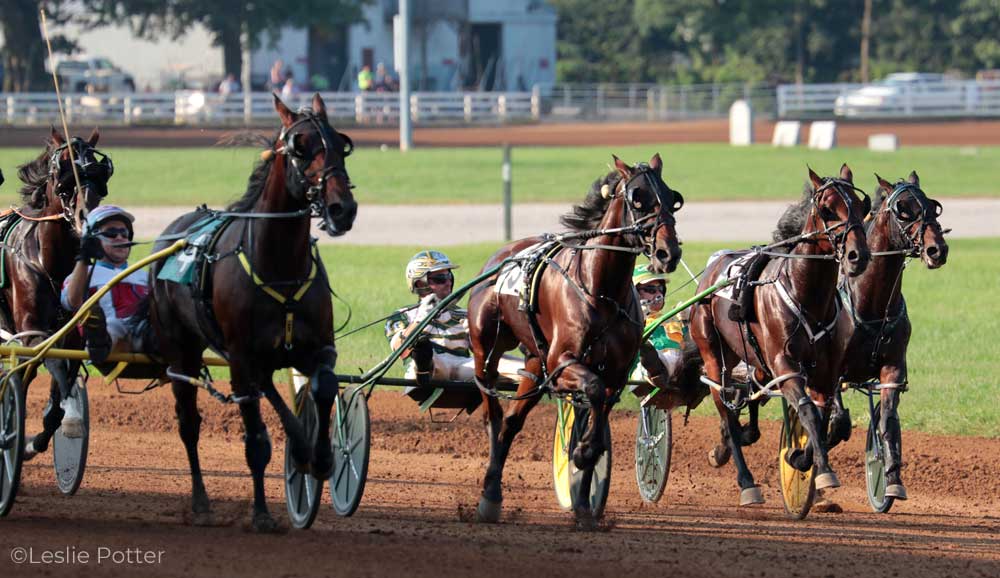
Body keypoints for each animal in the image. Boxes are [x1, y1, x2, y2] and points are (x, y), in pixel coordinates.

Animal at [146, 94, 354, 532]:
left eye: (341, 144)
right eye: (300, 146)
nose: (341, 208)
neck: (279, 266)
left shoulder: (317, 348)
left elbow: (324, 387)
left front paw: (319, 457)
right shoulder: (242, 359)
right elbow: (257, 441)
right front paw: (260, 513)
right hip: (181, 353)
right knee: (189, 424)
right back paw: (201, 501)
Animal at [468, 153, 688, 520]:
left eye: (673, 198)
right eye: (637, 198)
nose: (667, 253)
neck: (601, 291)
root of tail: (501, 257)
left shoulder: (614, 372)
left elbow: (597, 419)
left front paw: (584, 498)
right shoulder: (564, 362)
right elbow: (593, 392)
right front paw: (581, 453)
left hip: (535, 361)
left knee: (512, 421)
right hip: (487, 349)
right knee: (493, 414)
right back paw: (489, 494)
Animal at [828, 169, 952, 498]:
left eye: (933, 206)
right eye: (903, 209)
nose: (937, 249)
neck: (870, 303)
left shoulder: (893, 368)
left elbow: (887, 421)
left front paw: (891, 475)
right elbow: (837, 420)